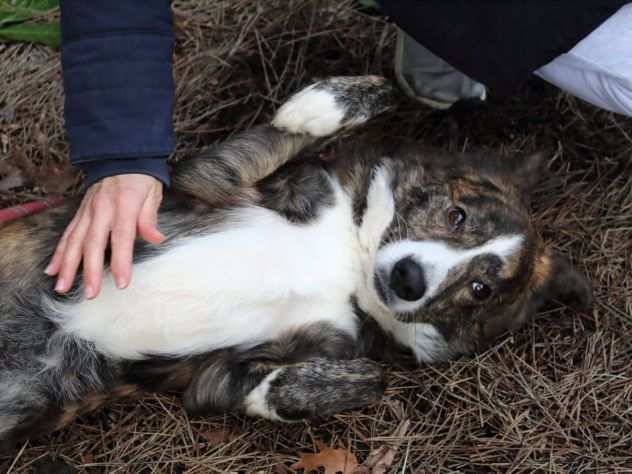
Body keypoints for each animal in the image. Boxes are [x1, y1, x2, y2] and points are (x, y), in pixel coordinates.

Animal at [0, 75, 592, 448]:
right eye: (455, 214)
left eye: (480, 291)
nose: (408, 278)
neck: (348, 261)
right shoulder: (213, 178)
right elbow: (377, 91)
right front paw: (313, 108)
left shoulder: (216, 377)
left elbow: (364, 377)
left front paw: (296, 391)